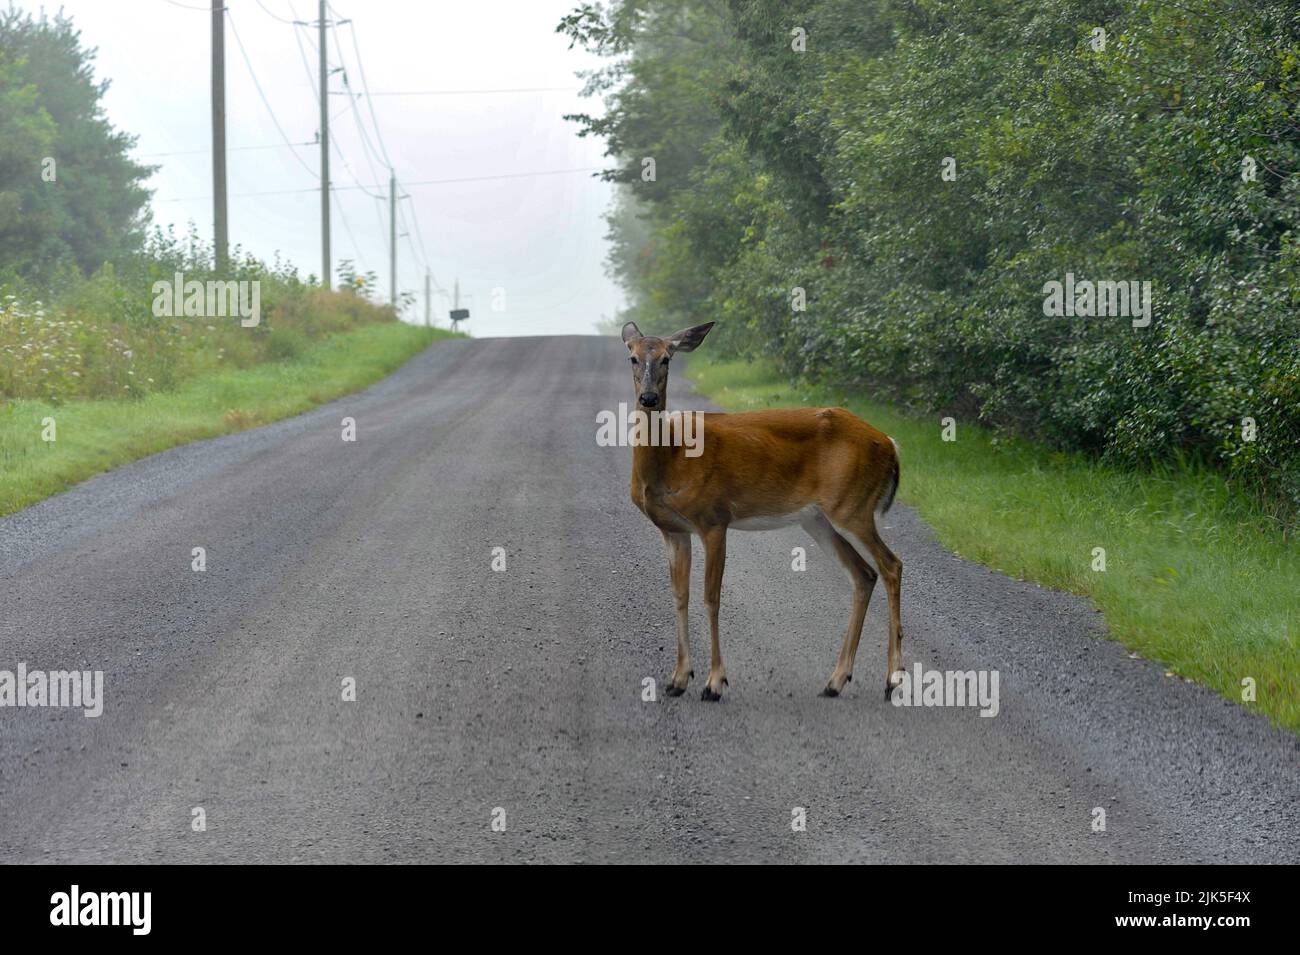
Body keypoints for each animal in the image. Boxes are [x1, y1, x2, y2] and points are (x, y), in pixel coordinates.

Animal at [621, 320, 903, 702]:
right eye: (633, 357)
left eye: (667, 358)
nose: (648, 398)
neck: (672, 459)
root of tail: (890, 443)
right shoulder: (673, 529)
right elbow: (680, 596)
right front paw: (678, 679)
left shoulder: (714, 518)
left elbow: (711, 597)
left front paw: (714, 683)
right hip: (818, 519)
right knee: (864, 574)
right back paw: (835, 680)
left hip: (852, 506)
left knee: (891, 566)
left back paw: (893, 680)